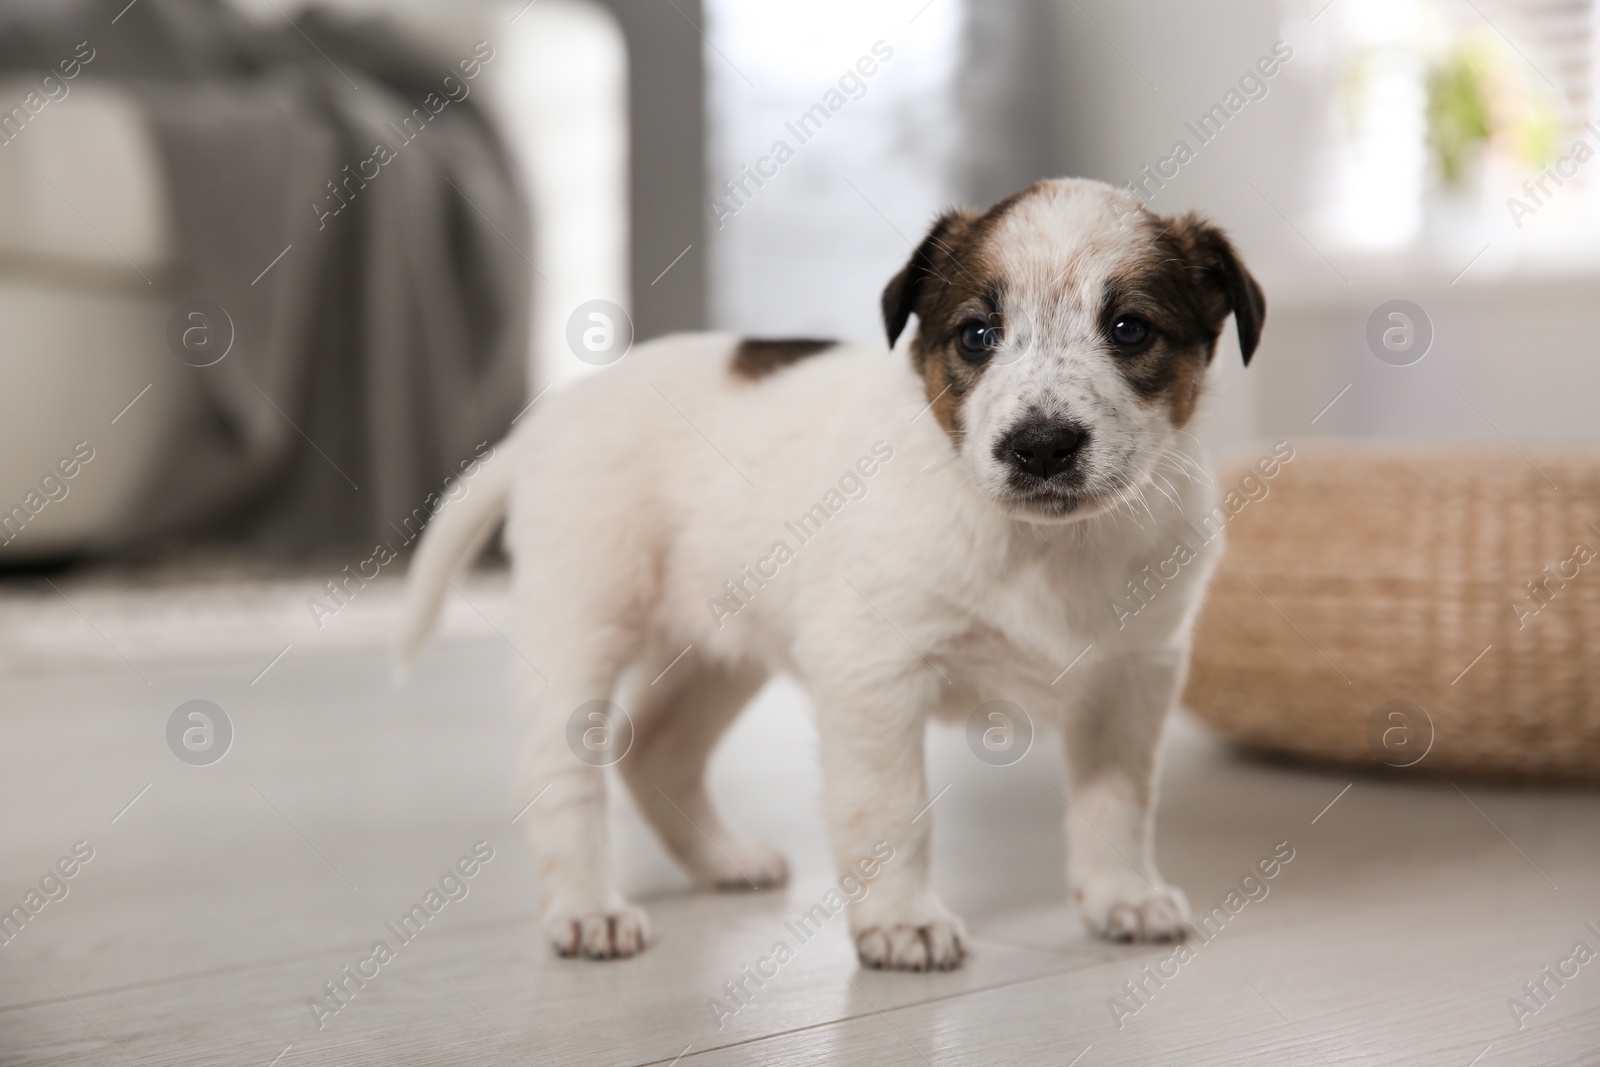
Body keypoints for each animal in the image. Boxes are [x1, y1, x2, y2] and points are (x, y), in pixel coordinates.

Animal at [396, 179, 1260, 972]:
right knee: (561, 774)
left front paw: (1123, 895)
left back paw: (725, 859)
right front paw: (903, 920)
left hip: (718, 649)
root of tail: (550, 413)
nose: (1041, 446)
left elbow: (1118, 804)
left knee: (657, 752)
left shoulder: (1134, 678)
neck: (1043, 545)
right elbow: (894, 811)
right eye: (977, 334)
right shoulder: (873, 675)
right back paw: (586, 907)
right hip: (581, 624)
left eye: (1129, 329)